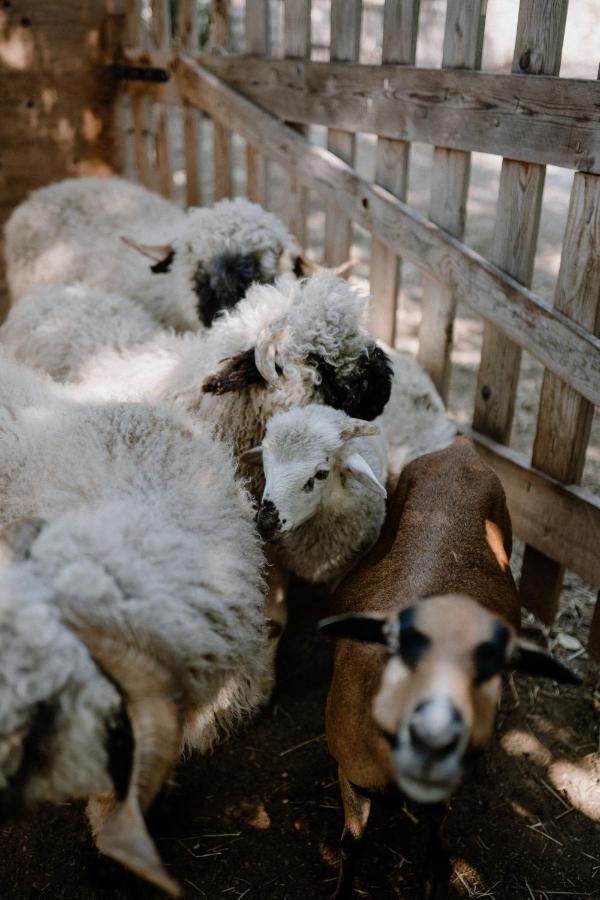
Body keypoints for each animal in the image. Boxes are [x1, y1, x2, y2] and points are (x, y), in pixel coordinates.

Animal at [318, 434, 580, 892]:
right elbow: (351, 846)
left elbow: (436, 826)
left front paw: (434, 870)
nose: (438, 736)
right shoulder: (350, 772)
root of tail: (460, 448)